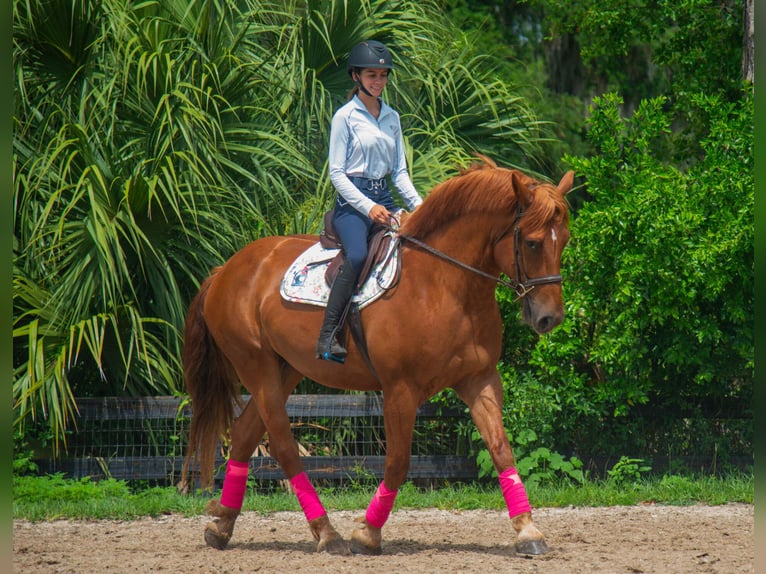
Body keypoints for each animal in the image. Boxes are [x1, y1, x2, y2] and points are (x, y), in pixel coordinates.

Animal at [181, 157, 574, 556]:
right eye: (532, 243)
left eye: (565, 240)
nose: (550, 318)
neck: (444, 285)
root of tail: (225, 270)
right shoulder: (400, 389)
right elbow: (398, 463)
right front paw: (367, 533)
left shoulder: (479, 379)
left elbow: (501, 450)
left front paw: (528, 531)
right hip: (256, 367)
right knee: (282, 445)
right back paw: (327, 533)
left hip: (285, 368)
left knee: (246, 435)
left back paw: (222, 526)